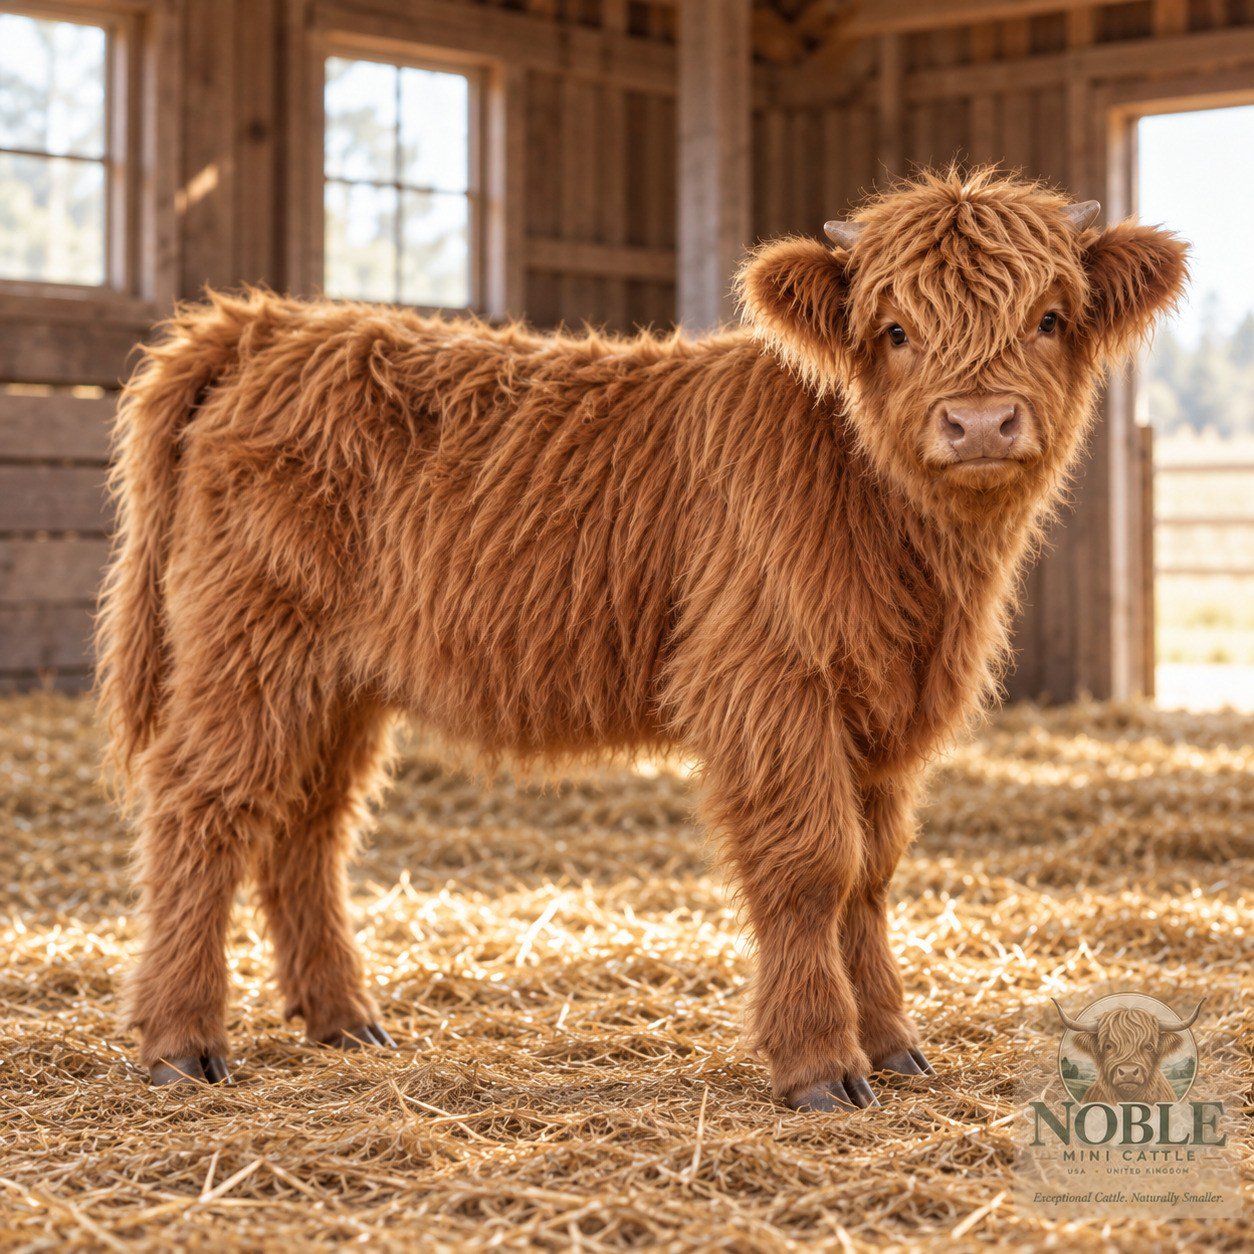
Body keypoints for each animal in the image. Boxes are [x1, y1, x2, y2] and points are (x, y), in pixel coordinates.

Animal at [96, 168, 1186, 1111]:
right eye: (895, 329)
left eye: (1050, 318)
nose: (981, 422)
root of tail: (272, 322)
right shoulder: (768, 680)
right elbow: (814, 866)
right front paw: (822, 1066)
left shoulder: (881, 706)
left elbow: (872, 876)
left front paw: (894, 1045)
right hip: (249, 646)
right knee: (202, 807)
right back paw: (183, 1042)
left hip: (338, 679)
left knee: (307, 825)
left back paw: (343, 1019)